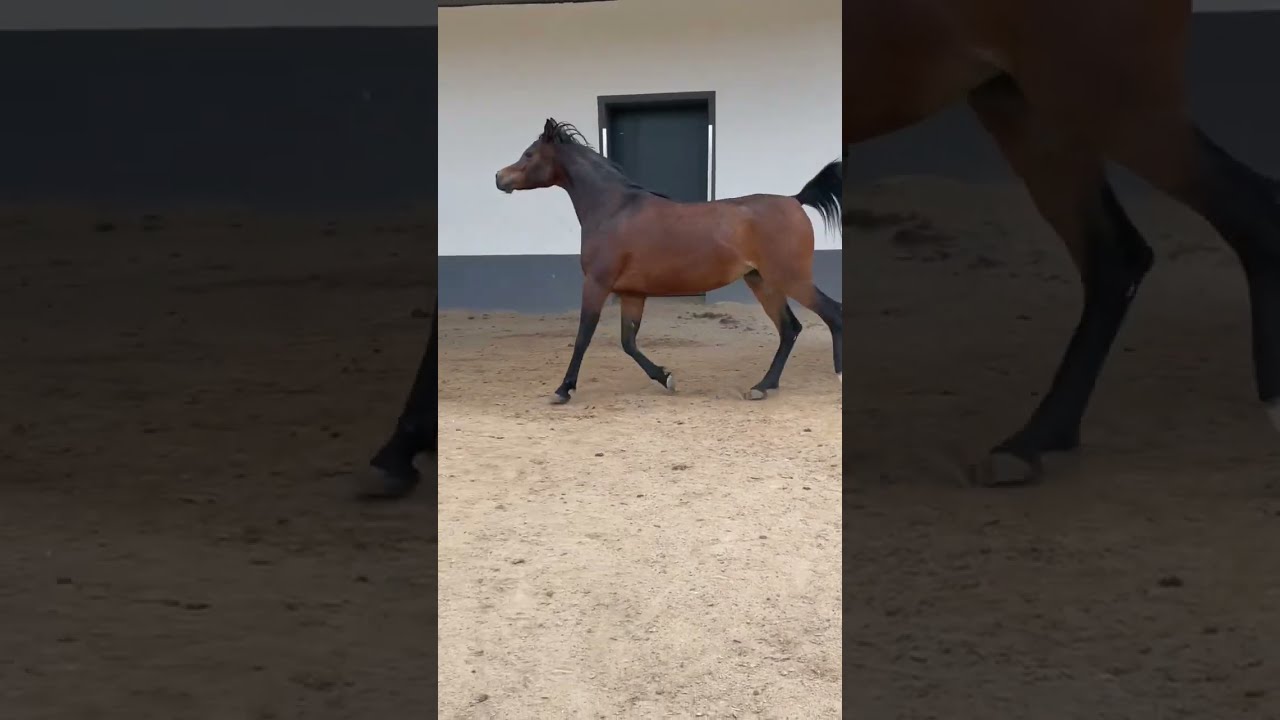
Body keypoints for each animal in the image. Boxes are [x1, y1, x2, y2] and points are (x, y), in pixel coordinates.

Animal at [495, 118, 843, 404]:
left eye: (529, 154)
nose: (499, 178)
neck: (613, 209)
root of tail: (795, 200)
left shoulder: (596, 284)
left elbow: (583, 337)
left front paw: (563, 390)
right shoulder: (632, 294)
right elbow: (628, 342)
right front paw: (666, 378)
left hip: (790, 279)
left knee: (831, 314)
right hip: (762, 281)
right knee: (789, 328)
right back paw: (762, 386)